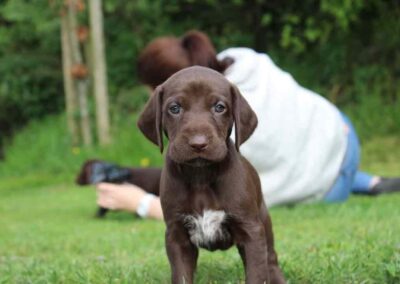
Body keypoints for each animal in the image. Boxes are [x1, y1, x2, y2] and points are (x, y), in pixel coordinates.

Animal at [138, 66, 284, 284]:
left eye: (219, 107)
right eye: (174, 108)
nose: (198, 143)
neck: (201, 176)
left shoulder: (251, 231)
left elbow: (257, 273)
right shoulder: (176, 235)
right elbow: (181, 275)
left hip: (264, 222)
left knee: (271, 260)